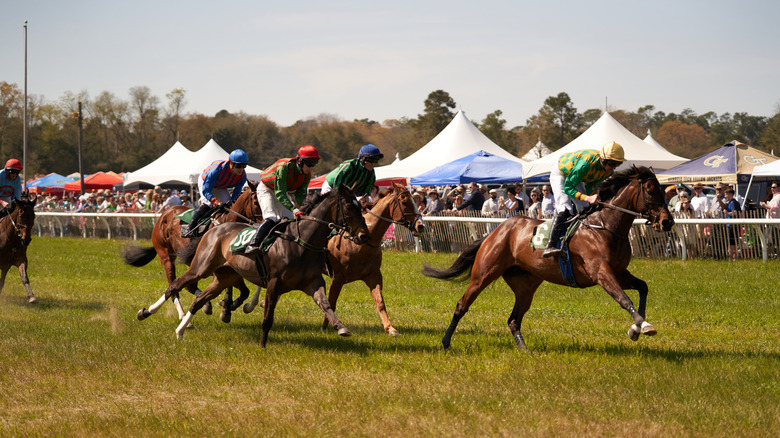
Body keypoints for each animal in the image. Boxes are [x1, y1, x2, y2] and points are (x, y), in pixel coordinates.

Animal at [122, 180, 262, 320]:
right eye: (256, 202)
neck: (227, 222)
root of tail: (165, 213)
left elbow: (244, 291)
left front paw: (229, 306)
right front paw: (226, 307)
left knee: (188, 286)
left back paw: (204, 305)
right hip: (166, 256)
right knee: (174, 287)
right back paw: (182, 316)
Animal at [139, 183, 370, 348]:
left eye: (362, 206)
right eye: (349, 206)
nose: (363, 235)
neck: (301, 241)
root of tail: (214, 228)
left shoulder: (313, 282)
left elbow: (326, 305)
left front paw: (341, 328)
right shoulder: (274, 283)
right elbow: (268, 316)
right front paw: (263, 344)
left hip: (225, 276)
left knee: (199, 299)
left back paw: (180, 330)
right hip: (200, 267)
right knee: (175, 285)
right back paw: (147, 312)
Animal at [318, 181, 424, 336]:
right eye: (404, 202)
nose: (421, 226)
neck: (361, 243)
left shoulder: (373, 276)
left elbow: (380, 302)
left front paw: (390, 328)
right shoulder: (337, 278)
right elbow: (331, 303)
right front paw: (326, 327)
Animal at [424, 166, 672, 350]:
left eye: (663, 191)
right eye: (651, 190)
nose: (667, 221)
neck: (605, 227)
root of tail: (497, 230)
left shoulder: (619, 272)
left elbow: (643, 287)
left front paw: (635, 329)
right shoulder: (601, 272)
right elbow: (624, 299)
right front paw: (644, 325)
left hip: (525, 285)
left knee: (513, 320)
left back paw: (525, 351)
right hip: (483, 274)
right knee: (462, 305)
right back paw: (445, 342)